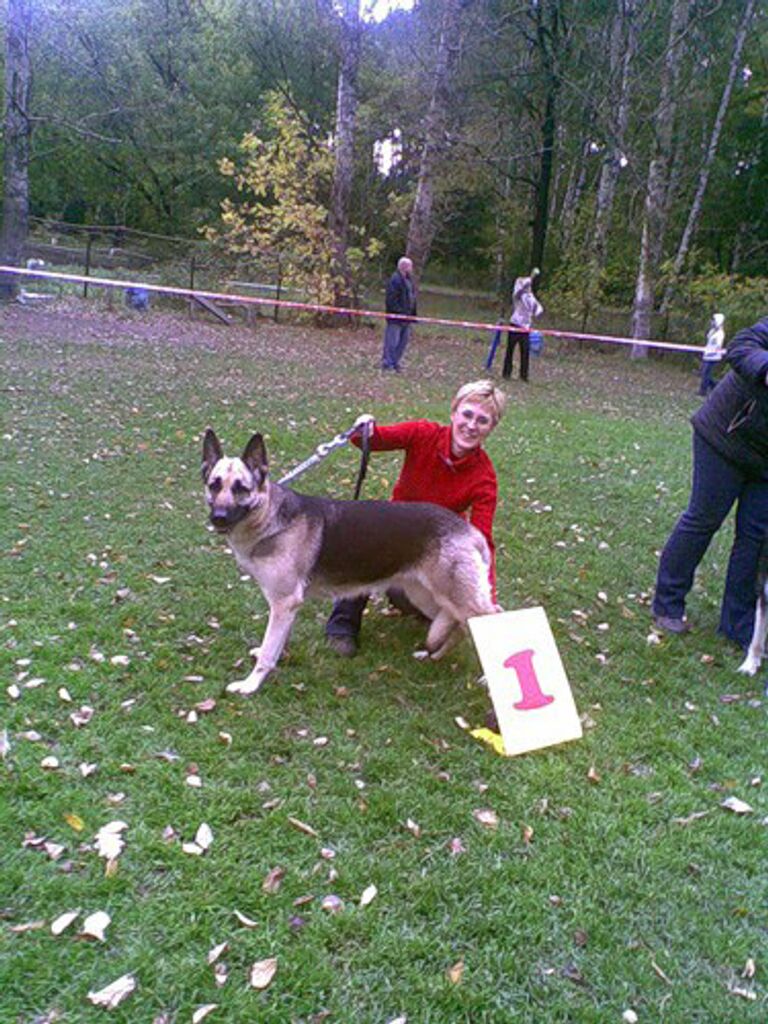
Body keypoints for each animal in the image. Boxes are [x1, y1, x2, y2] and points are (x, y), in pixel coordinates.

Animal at [201, 428, 495, 692]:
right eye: (214, 485)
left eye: (241, 488)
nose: (218, 518)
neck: (268, 516)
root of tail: (469, 529)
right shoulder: (288, 606)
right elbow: (276, 642)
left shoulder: (284, 602)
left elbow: (268, 652)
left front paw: (250, 685)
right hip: (425, 597)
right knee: (456, 626)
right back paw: (432, 655)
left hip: (456, 599)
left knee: (489, 618)